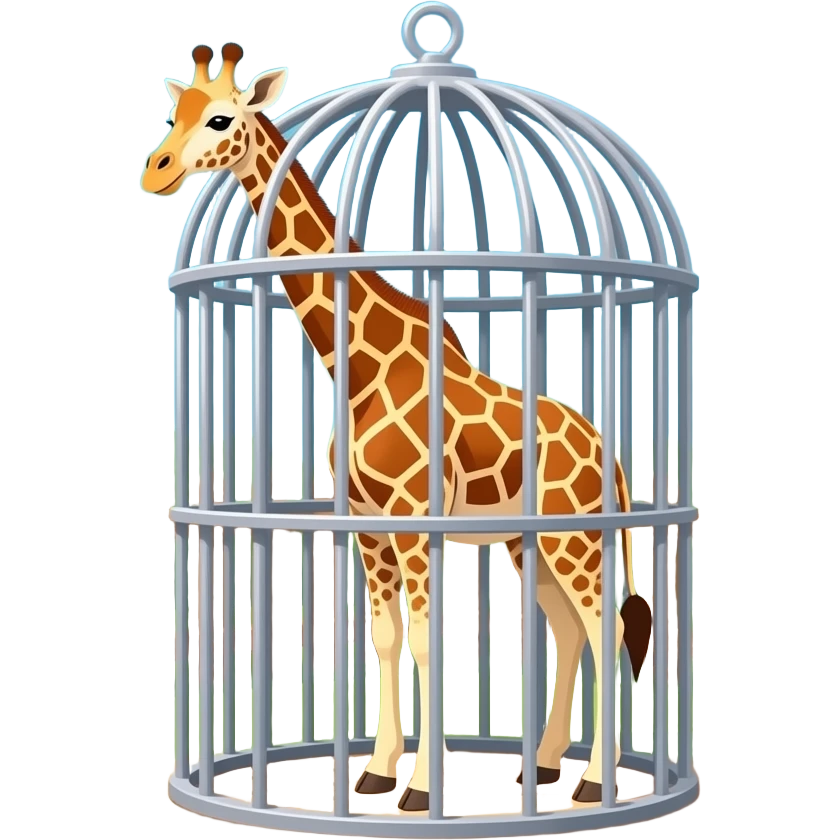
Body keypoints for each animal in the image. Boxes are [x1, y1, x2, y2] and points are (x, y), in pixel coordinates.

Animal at [144, 43, 654, 812]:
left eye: (222, 117)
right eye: (177, 113)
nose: (158, 169)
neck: (356, 365)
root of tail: (608, 452)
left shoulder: (416, 520)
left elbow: (426, 641)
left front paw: (420, 788)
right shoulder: (368, 522)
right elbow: (384, 637)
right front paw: (378, 772)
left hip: (575, 537)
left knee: (607, 627)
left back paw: (596, 780)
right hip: (529, 544)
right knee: (567, 630)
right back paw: (542, 763)